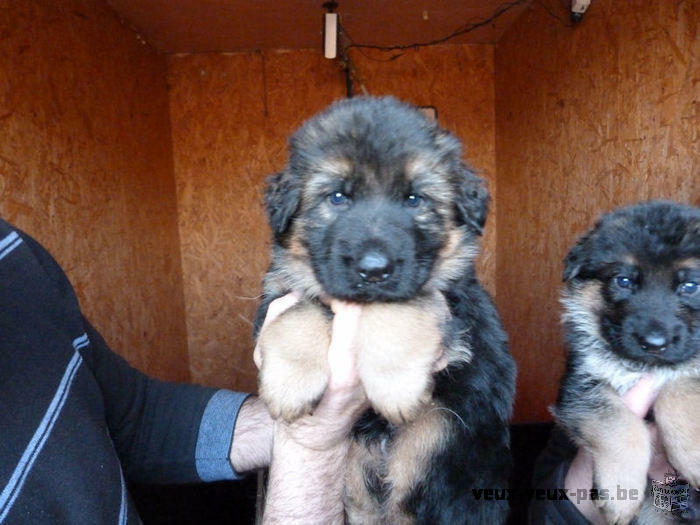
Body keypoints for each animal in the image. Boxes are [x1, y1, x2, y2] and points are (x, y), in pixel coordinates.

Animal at [252, 96, 516, 520]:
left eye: (414, 198)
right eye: (337, 197)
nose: (374, 269)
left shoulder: (454, 302)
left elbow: (399, 308)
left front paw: (395, 385)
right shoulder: (278, 294)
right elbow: (302, 312)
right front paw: (289, 383)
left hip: (437, 440)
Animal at [556, 201, 696, 524]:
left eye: (689, 286)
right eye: (624, 281)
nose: (654, 344)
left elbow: (680, 387)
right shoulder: (581, 385)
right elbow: (620, 427)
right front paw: (620, 494)